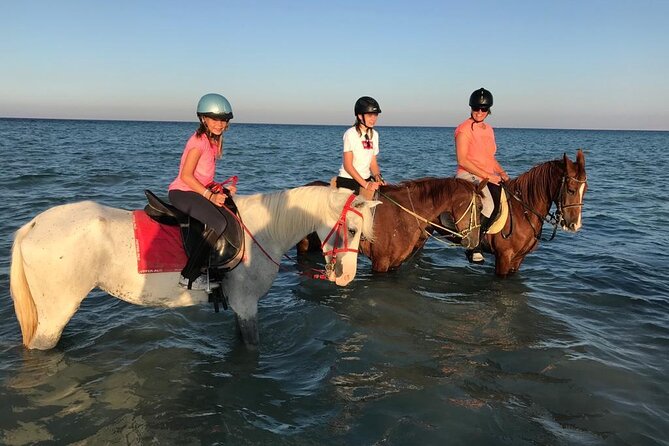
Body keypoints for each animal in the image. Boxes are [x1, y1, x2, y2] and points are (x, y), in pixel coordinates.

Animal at [9, 186, 381, 350]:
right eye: (351, 229)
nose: (346, 277)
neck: (263, 230)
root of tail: (32, 226)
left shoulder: (240, 307)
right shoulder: (247, 305)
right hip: (55, 314)